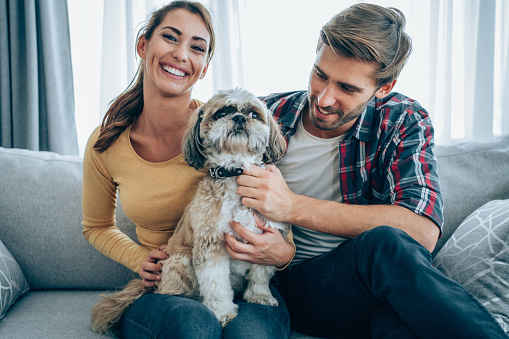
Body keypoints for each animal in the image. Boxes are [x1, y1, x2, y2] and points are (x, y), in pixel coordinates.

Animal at [90, 88, 290, 334]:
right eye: (221, 113)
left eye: (254, 114)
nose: (239, 118)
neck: (234, 173)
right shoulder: (210, 244)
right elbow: (215, 285)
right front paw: (222, 312)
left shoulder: (266, 240)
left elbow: (260, 275)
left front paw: (260, 297)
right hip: (179, 262)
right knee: (177, 290)